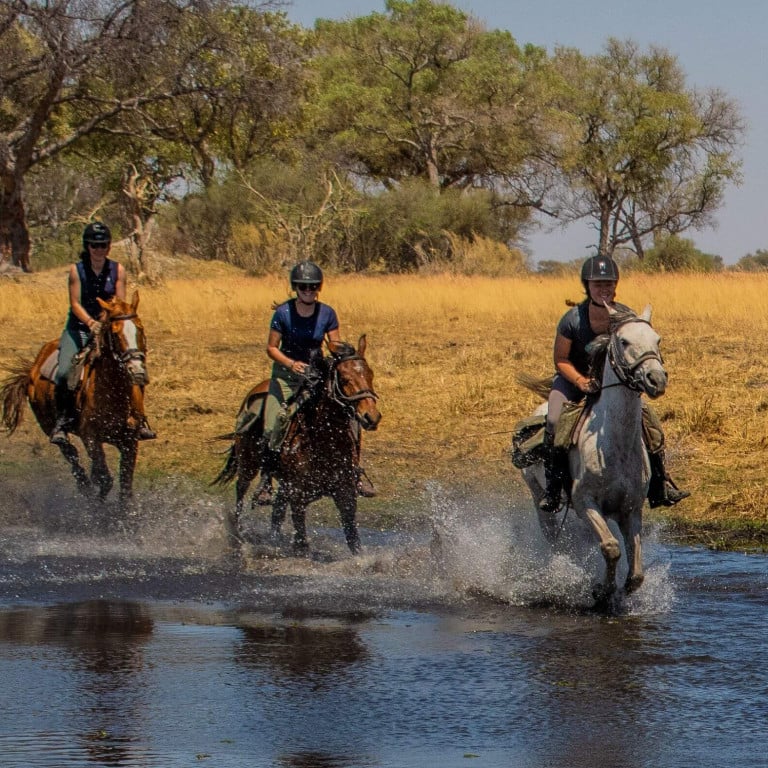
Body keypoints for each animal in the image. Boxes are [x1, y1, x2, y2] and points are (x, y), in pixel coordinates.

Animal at [0, 292, 150, 504]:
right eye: (114, 333)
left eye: (140, 328)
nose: (137, 371)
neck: (113, 393)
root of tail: (33, 368)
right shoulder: (91, 438)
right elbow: (104, 480)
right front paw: (97, 506)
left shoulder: (129, 441)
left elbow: (125, 489)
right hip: (50, 427)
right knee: (72, 457)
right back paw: (85, 487)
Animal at [213, 336, 380, 552]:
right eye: (344, 379)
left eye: (370, 374)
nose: (372, 417)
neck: (324, 440)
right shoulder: (298, 497)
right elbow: (301, 542)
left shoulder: (345, 493)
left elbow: (354, 542)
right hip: (248, 466)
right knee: (240, 496)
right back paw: (238, 534)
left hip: (283, 485)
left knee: (276, 510)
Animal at [520, 304, 668, 608]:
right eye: (624, 342)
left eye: (657, 340)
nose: (657, 380)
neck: (615, 445)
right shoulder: (584, 502)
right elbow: (611, 548)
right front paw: (601, 591)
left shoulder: (631, 508)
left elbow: (636, 570)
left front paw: (618, 593)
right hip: (538, 493)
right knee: (551, 533)